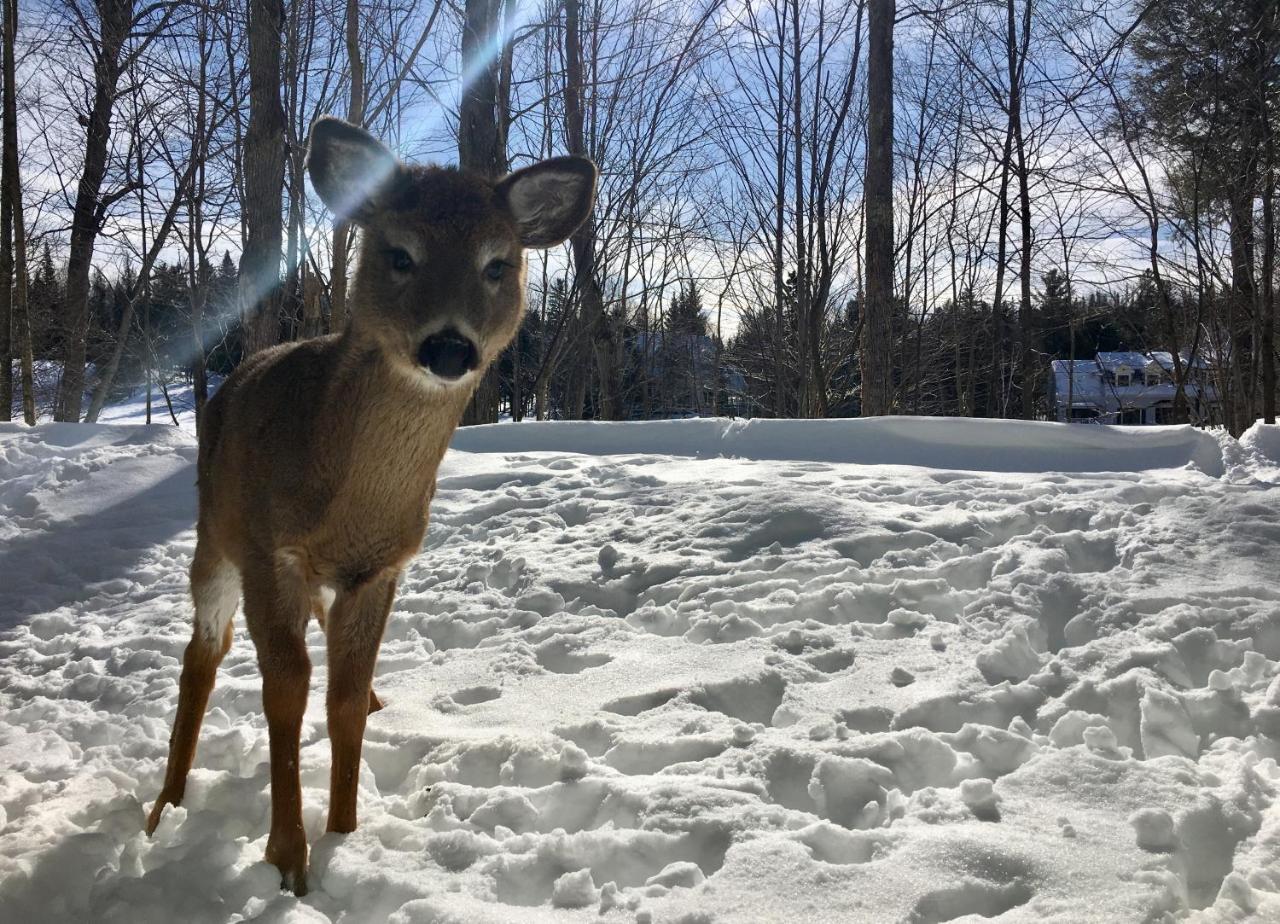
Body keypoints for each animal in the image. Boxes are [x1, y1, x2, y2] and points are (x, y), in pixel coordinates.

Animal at [146, 115, 599, 890]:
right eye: (400, 254)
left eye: (498, 264)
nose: (449, 348)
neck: (348, 502)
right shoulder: (270, 550)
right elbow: (288, 689)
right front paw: (288, 860)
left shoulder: (382, 567)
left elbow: (347, 698)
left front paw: (344, 833)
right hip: (213, 535)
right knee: (203, 649)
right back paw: (165, 807)